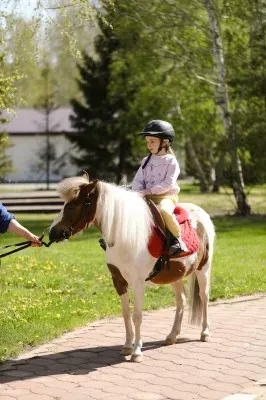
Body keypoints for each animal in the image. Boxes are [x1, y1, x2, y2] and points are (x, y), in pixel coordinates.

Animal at [50, 175, 215, 362]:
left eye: (72, 206)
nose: (52, 233)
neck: (125, 235)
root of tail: (202, 214)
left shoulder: (138, 283)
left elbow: (137, 316)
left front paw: (137, 352)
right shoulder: (119, 281)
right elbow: (125, 313)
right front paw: (128, 346)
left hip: (203, 269)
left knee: (204, 297)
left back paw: (205, 333)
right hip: (176, 275)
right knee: (181, 301)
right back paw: (172, 336)